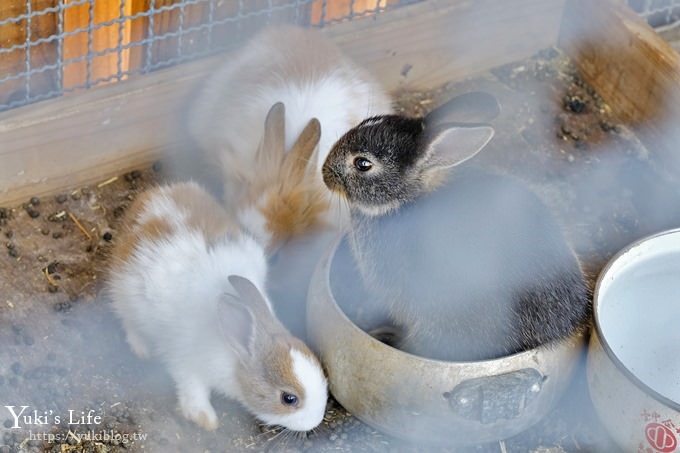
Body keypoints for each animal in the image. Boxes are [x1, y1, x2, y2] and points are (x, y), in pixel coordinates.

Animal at [107, 180, 330, 430]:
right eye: (289, 398)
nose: (317, 420)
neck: (238, 352)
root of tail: (151, 198)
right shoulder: (185, 363)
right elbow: (192, 391)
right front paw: (207, 421)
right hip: (126, 293)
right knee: (127, 321)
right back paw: (141, 349)